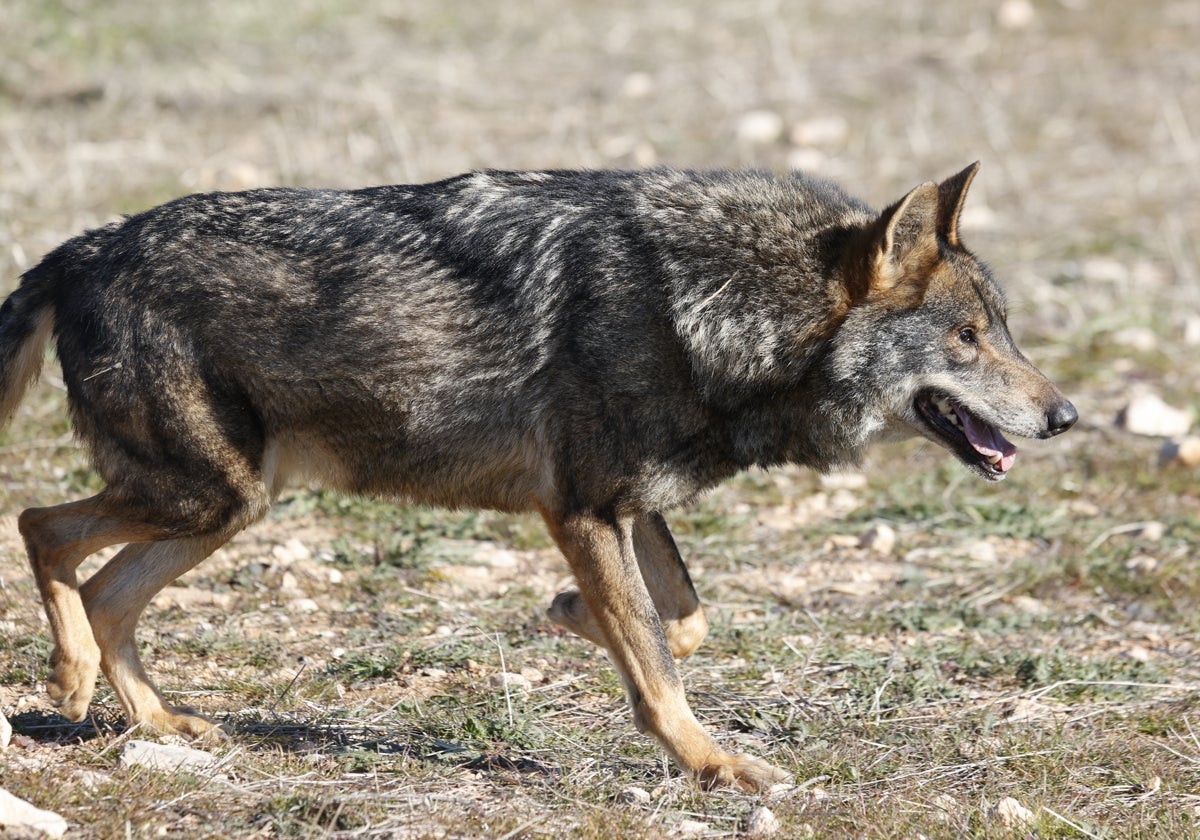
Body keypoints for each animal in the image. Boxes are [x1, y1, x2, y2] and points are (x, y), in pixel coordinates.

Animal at [0, 162, 1075, 787]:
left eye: (1003, 330)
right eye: (968, 338)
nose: (1064, 416)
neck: (712, 306)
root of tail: (82, 246)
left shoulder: (623, 504)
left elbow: (681, 620)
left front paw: (568, 614)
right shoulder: (586, 508)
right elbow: (658, 665)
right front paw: (715, 765)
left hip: (226, 507)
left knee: (102, 587)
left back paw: (160, 721)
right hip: (208, 496)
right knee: (43, 527)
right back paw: (71, 681)